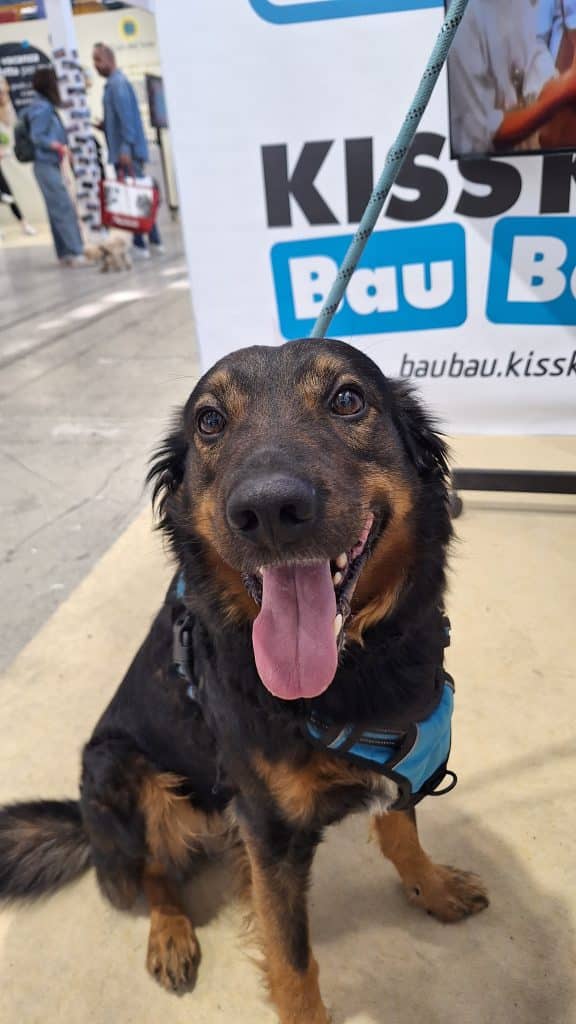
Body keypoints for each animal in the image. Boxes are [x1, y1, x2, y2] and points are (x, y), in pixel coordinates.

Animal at [0, 339, 488, 1024]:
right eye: (209, 421)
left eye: (348, 399)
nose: (270, 511)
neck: (353, 670)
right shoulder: (270, 830)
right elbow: (292, 960)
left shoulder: (406, 761)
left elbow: (402, 835)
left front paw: (434, 889)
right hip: (119, 767)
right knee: (152, 872)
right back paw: (170, 934)